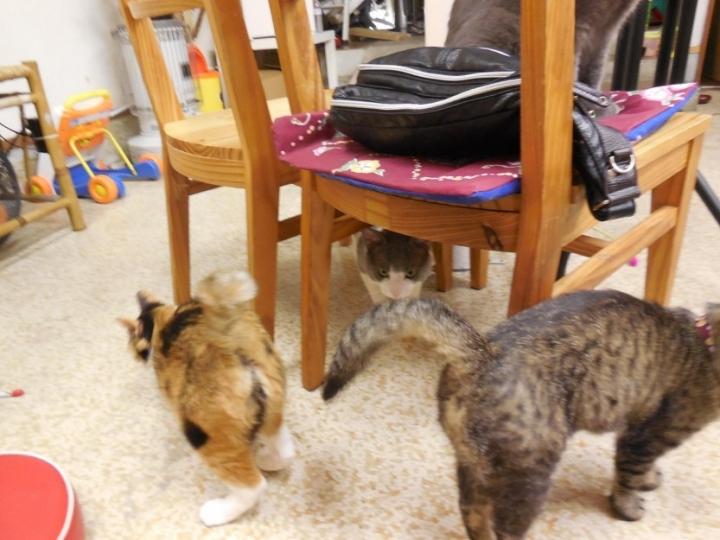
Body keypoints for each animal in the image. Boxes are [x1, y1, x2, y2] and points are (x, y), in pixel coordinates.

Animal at [118, 269, 295, 527]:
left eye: (131, 340)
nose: (133, 353)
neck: (160, 317)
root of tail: (228, 340)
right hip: (274, 404)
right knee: (286, 449)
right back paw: (268, 460)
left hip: (206, 432)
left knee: (254, 486)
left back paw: (217, 512)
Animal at [323, 290, 720, 540]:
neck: (705, 343)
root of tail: (482, 353)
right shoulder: (645, 434)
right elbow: (628, 474)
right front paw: (629, 504)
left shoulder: (639, 427)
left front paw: (651, 479)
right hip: (530, 471)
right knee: (506, 528)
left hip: (475, 463)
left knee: (472, 513)